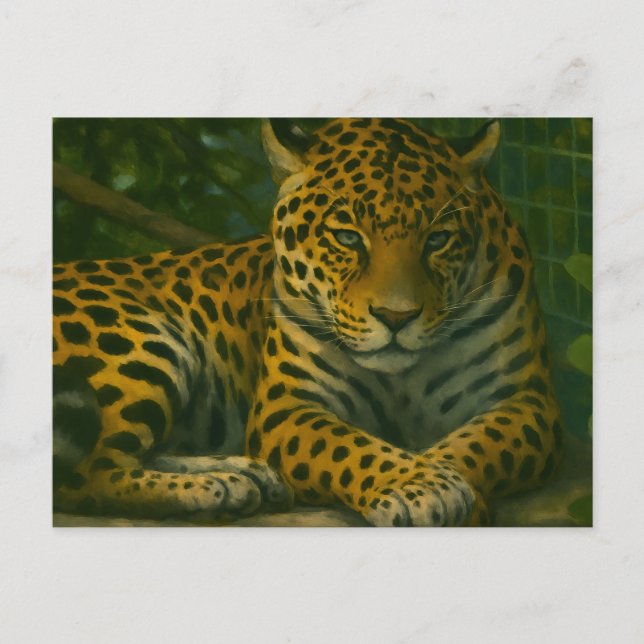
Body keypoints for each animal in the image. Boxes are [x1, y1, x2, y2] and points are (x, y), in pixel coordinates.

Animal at [53, 117, 563, 526]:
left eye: (437, 239)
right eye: (347, 238)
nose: (396, 317)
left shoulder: (524, 401)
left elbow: (472, 444)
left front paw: (447, 486)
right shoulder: (288, 406)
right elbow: (349, 446)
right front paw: (420, 486)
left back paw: (244, 475)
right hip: (136, 344)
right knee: (86, 475)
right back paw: (217, 488)